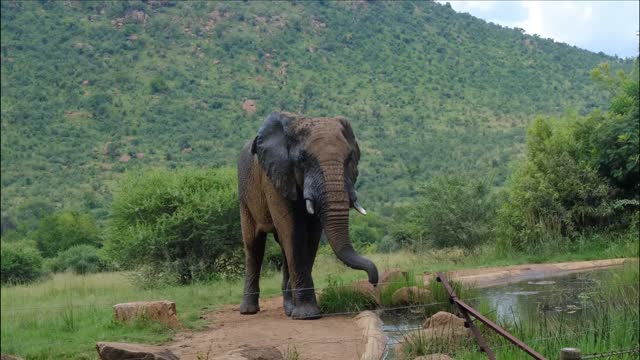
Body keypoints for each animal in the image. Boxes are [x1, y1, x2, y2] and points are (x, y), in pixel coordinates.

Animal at [239, 111, 380, 320]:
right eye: (303, 159)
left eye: (349, 158)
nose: (374, 282)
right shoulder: (276, 178)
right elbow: (293, 232)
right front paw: (308, 315)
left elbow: (311, 236)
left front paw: (299, 311)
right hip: (245, 196)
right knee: (254, 246)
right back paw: (249, 311)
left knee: (282, 247)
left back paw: (289, 308)